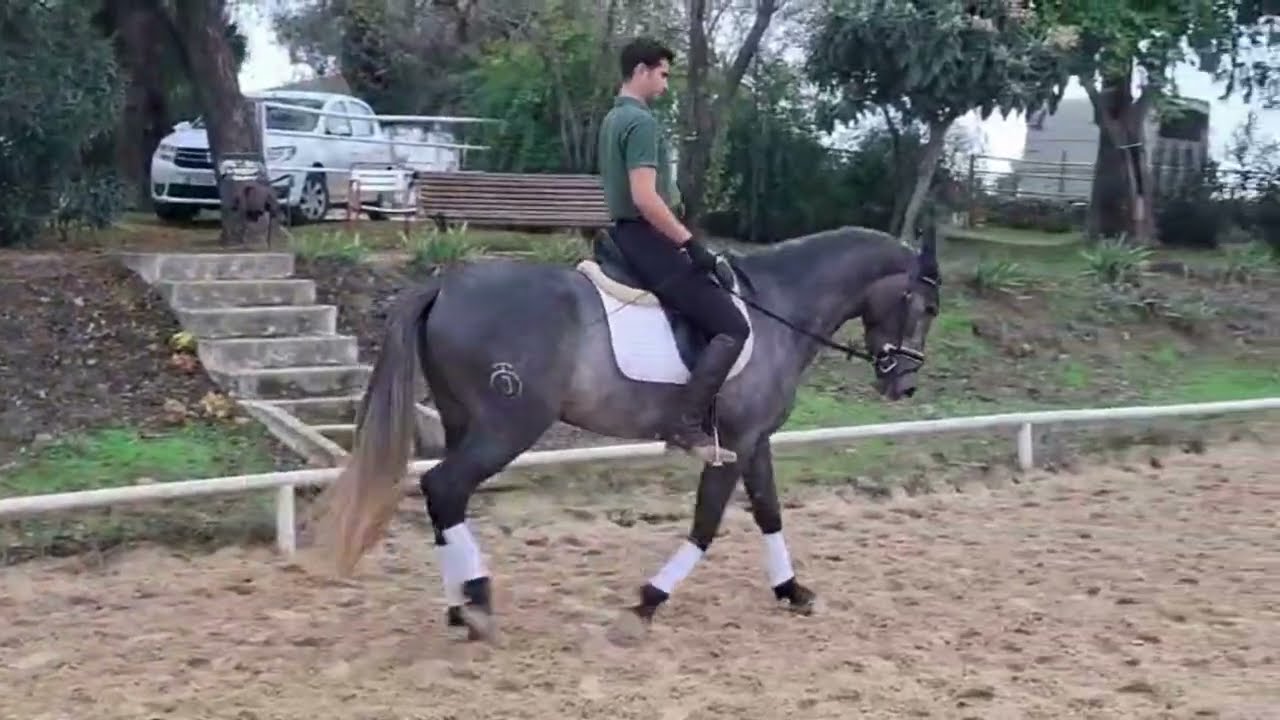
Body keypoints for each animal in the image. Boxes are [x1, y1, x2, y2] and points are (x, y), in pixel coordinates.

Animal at [313, 222, 942, 642]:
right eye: (929, 306)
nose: (906, 384)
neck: (778, 308)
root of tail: (446, 285)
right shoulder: (731, 443)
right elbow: (707, 524)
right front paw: (649, 599)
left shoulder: (755, 439)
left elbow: (768, 511)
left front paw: (791, 591)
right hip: (508, 426)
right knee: (445, 488)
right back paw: (478, 604)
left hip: (462, 419)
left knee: (445, 499)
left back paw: (459, 606)